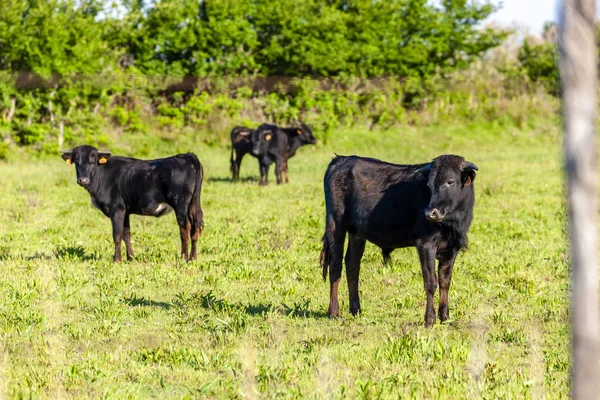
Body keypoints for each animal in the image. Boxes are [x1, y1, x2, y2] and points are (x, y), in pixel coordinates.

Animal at [61, 145, 205, 260]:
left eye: (92, 161)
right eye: (76, 162)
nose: (83, 180)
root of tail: (187, 156)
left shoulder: (117, 210)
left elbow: (117, 235)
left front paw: (117, 259)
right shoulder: (125, 211)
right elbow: (126, 234)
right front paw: (130, 257)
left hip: (180, 204)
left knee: (185, 228)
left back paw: (183, 257)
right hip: (193, 204)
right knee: (195, 228)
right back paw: (193, 258)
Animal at [318, 155, 478, 326]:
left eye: (450, 181)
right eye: (429, 184)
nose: (430, 213)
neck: (450, 223)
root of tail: (341, 160)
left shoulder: (453, 247)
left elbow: (445, 281)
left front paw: (445, 316)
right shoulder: (426, 244)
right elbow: (430, 282)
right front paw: (429, 319)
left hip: (356, 233)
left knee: (352, 265)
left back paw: (356, 310)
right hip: (335, 225)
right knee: (335, 266)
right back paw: (334, 312)